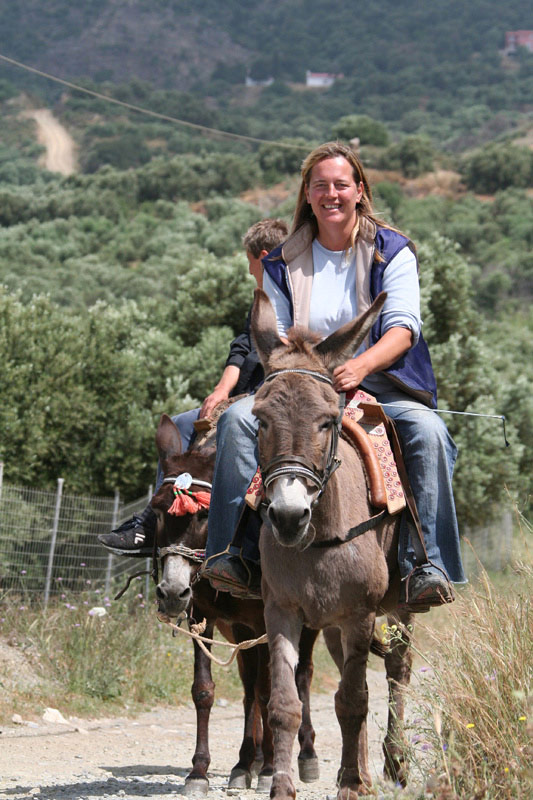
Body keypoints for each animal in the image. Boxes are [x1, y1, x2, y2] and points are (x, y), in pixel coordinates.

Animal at [151, 414, 321, 796]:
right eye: (157, 511)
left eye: (204, 515)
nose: (171, 592)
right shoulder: (204, 617)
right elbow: (205, 690)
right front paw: (199, 772)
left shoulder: (266, 621)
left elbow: (269, 690)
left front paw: (271, 770)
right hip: (241, 632)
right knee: (248, 689)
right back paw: (247, 761)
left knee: (300, 677)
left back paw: (303, 754)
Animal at [250, 289, 415, 799]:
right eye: (260, 419)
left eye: (326, 422)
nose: (287, 516)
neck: (318, 542)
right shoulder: (281, 610)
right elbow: (285, 704)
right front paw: (284, 786)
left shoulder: (360, 614)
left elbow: (353, 701)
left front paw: (351, 786)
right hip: (333, 628)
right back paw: (361, 771)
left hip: (398, 609)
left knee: (396, 671)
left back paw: (393, 765)